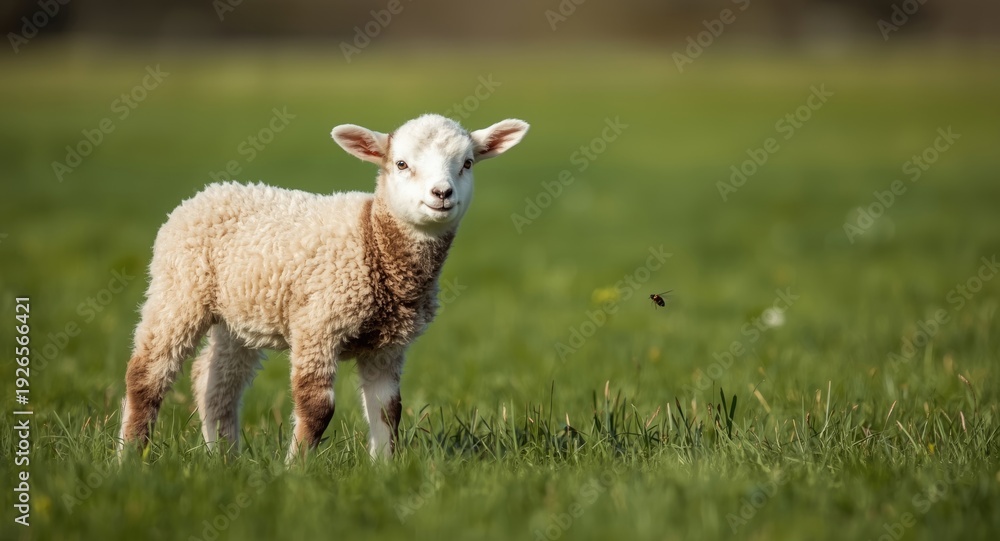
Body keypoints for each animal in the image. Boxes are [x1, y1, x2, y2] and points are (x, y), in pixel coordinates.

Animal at [118, 114, 529, 460]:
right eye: (401, 164)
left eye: (467, 163)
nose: (442, 194)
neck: (374, 239)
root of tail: (209, 191)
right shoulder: (319, 324)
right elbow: (317, 408)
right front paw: (295, 472)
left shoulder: (387, 347)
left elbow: (388, 410)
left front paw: (385, 472)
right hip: (179, 289)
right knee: (146, 374)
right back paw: (131, 458)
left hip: (238, 315)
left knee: (215, 382)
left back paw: (224, 460)